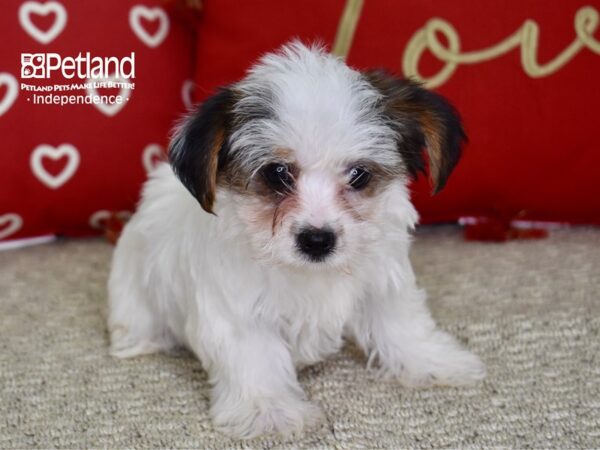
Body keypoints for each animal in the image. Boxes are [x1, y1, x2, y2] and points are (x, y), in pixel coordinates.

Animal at [106, 40, 482, 438]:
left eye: (359, 175)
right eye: (277, 174)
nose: (317, 239)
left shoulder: (382, 280)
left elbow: (400, 321)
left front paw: (433, 361)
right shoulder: (238, 309)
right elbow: (254, 356)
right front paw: (268, 410)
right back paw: (138, 340)